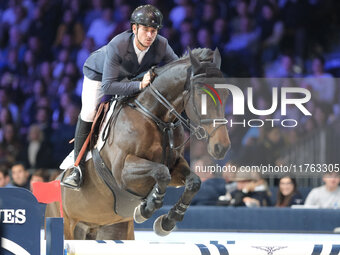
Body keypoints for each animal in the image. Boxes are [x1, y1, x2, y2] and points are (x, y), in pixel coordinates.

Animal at [45, 47, 231, 239]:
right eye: (202, 95)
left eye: (226, 94)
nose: (221, 147)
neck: (156, 117)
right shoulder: (122, 171)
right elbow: (161, 173)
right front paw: (146, 209)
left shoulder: (175, 165)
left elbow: (193, 181)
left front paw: (167, 221)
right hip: (67, 225)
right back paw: (74, 177)